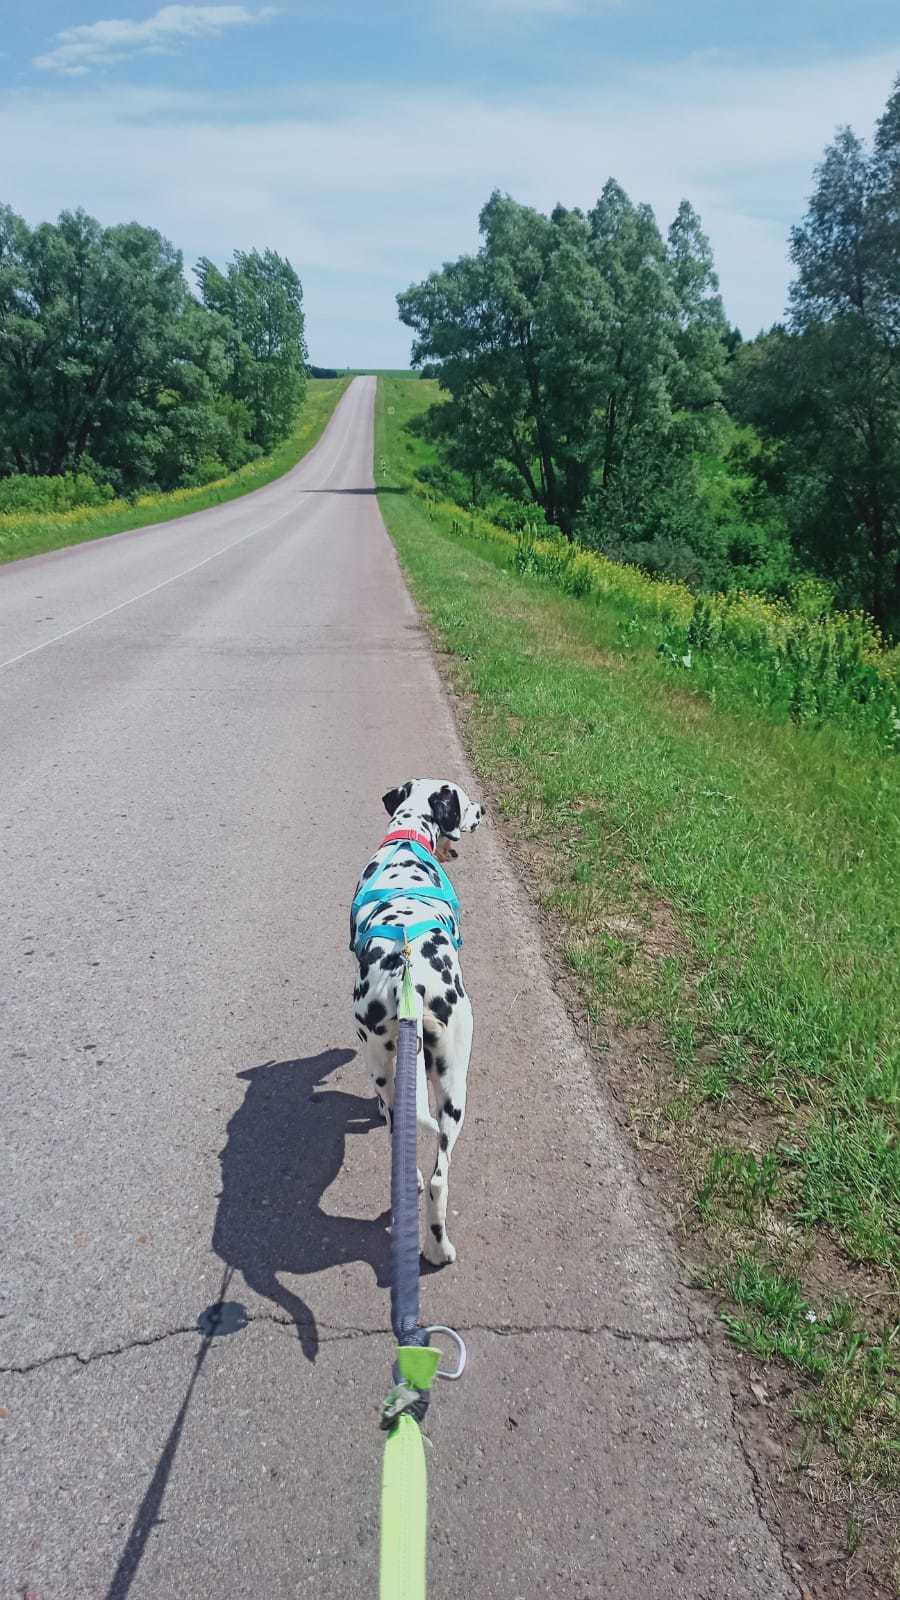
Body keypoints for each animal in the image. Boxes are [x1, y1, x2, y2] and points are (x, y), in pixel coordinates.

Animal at [347, 780, 480, 1267]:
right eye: (464, 802)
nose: (483, 810)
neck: (408, 839)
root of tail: (412, 981)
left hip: (384, 1066)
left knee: (402, 1140)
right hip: (455, 1083)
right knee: (441, 1177)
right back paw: (441, 1251)